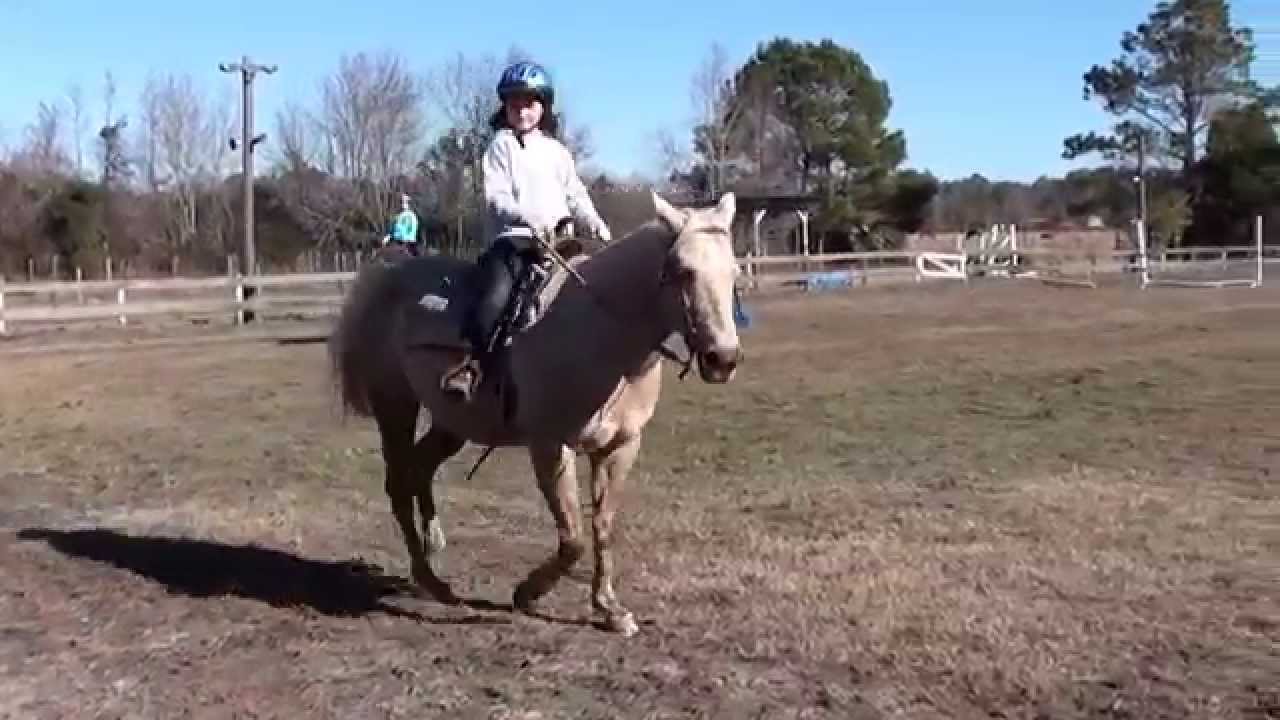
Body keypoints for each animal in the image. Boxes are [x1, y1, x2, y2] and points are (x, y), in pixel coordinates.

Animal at [327, 191, 743, 636]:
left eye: (734, 271)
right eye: (682, 271)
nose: (723, 359)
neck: (600, 332)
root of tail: (387, 276)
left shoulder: (620, 446)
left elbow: (602, 526)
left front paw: (610, 609)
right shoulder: (549, 446)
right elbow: (573, 537)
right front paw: (527, 593)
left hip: (453, 422)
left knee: (419, 469)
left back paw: (433, 552)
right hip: (395, 405)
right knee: (398, 481)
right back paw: (431, 579)